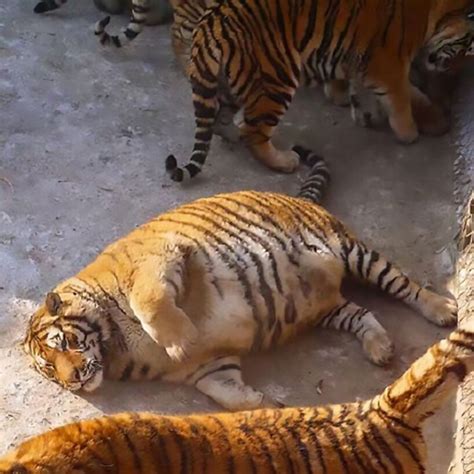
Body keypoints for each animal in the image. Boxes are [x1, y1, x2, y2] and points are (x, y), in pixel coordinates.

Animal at [24, 147, 458, 412]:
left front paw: (181, 339)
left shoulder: (159, 259)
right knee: (361, 313)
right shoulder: (208, 367)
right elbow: (230, 397)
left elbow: (151, 303)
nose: (74, 380)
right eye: (50, 369)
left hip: (354, 252)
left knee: (404, 285)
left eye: (65, 343)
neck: (115, 347)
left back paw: (444, 309)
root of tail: (299, 197)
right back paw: (380, 348)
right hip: (326, 309)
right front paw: (267, 405)